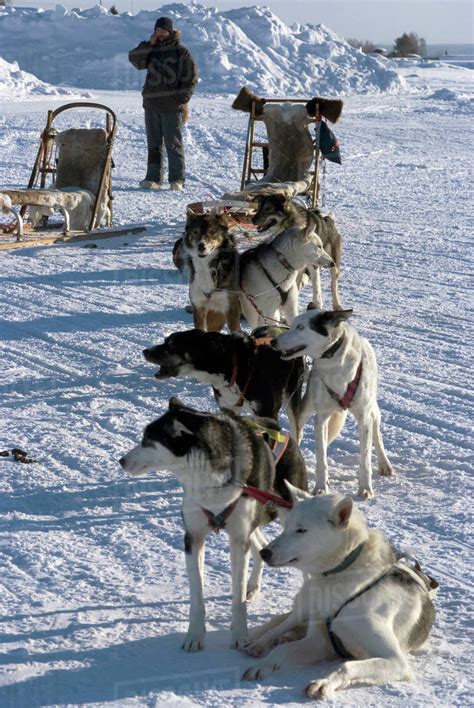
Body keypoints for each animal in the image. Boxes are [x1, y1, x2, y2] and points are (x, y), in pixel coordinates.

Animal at [119, 398, 308, 652]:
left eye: (148, 439)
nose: (121, 461)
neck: (211, 482)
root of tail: (275, 427)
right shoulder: (193, 537)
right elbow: (197, 596)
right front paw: (195, 636)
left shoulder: (237, 539)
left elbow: (237, 597)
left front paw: (240, 635)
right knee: (261, 545)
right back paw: (253, 586)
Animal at [143, 326, 306, 442]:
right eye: (166, 341)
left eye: (171, 344)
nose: (145, 351)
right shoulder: (228, 410)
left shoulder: (268, 416)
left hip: (292, 394)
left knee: (296, 430)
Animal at [243, 490, 438, 700]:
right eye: (285, 527)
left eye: (301, 530)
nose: (263, 552)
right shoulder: (318, 642)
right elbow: (282, 650)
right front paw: (264, 663)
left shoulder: (396, 661)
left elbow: (346, 665)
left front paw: (324, 682)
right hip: (307, 602)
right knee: (284, 622)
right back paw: (261, 640)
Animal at [272, 308, 394, 498]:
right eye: (292, 326)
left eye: (300, 327)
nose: (273, 341)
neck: (335, 363)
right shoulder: (321, 417)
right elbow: (321, 457)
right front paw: (321, 486)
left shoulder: (364, 417)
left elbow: (365, 457)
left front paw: (365, 488)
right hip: (306, 408)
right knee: (299, 432)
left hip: (372, 409)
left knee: (377, 433)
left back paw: (384, 463)